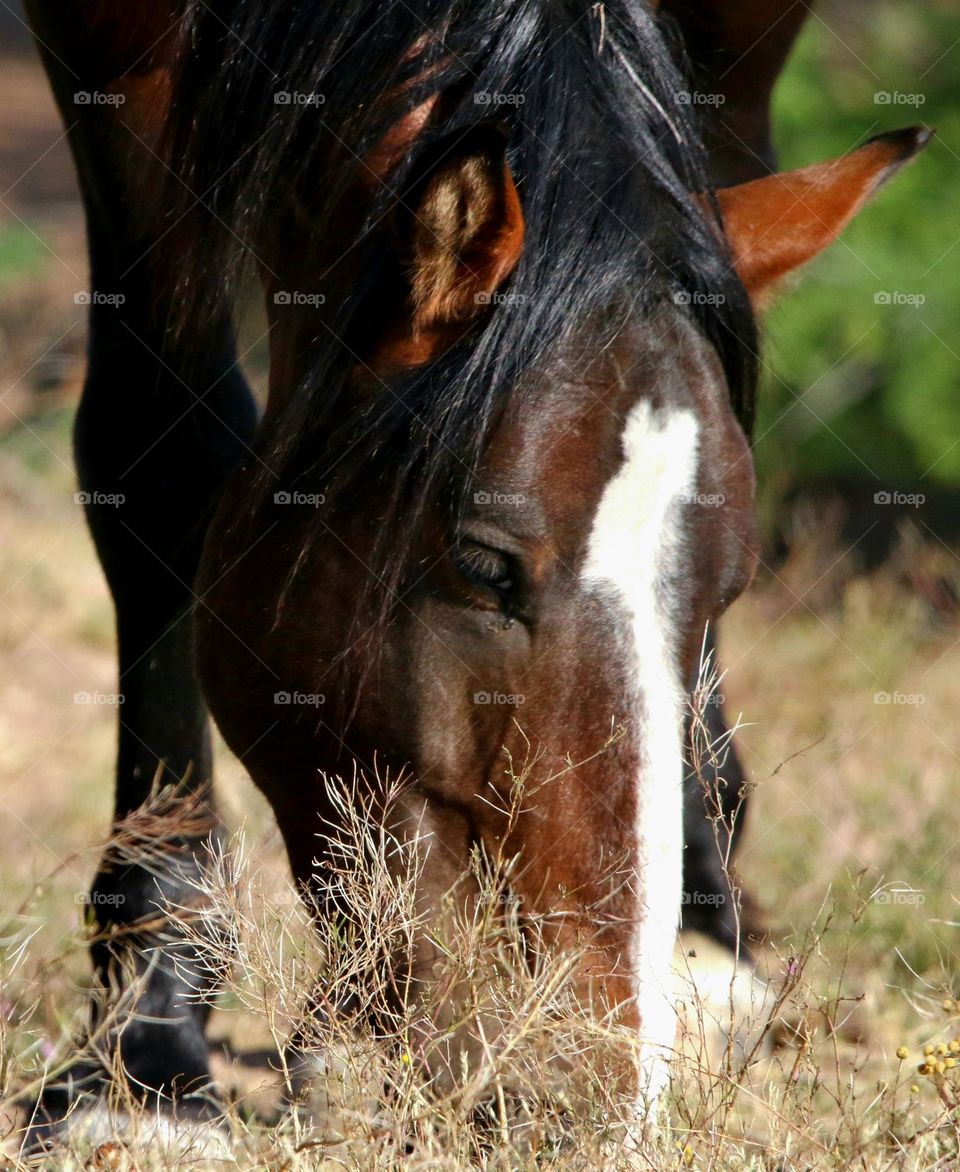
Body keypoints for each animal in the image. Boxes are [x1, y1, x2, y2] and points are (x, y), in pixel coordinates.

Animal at [19, 0, 927, 1146]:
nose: (580, 1076)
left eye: (733, 587)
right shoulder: (107, 49)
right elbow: (160, 445)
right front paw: (147, 1050)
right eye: (485, 564)